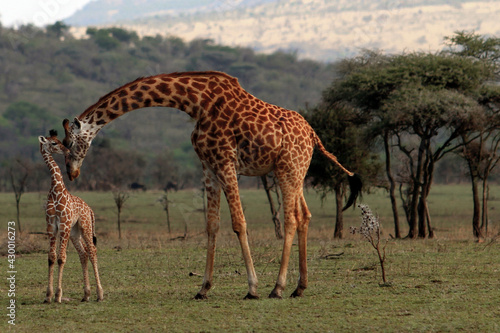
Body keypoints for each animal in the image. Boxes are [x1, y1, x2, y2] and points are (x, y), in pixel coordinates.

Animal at [38, 130, 103, 304]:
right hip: (75, 232)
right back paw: (86, 294)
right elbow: (51, 258)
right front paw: (48, 295)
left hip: (85, 227)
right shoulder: (51, 227)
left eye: (60, 140)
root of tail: (90, 209)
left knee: (92, 251)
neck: (56, 190)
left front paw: (58, 295)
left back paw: (100, 294)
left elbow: (62, 258)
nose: (67, 151)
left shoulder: (64, 226)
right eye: (54, 143)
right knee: (84, 253)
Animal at [62, 70, 362, 298]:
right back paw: (299, 287)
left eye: (69, 144)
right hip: (295, 172)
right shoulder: (207, 165)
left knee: (291, 219)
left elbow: (239, 223)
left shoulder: (225, 161)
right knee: (305, 215)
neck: (196, 103)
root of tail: (313, 134)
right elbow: (212, 225)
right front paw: (203, 288)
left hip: (287, 169)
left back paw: (277, 288)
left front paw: (252, 288)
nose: (72, 173)